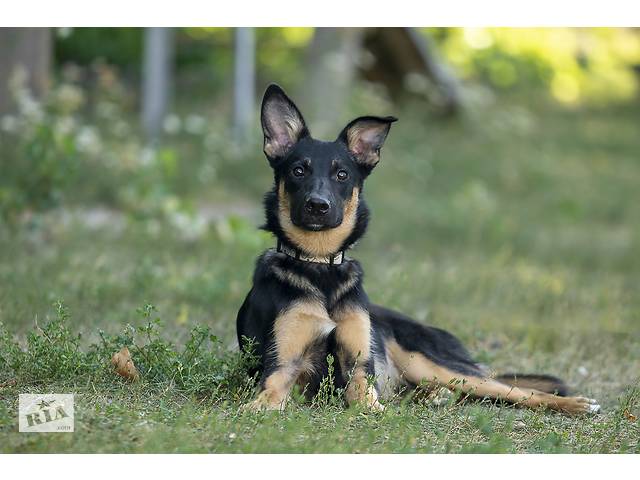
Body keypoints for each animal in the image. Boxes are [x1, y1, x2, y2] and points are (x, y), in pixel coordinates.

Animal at [235, 84, 600, 414]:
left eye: (342, 175)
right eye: (298, 171)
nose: (318, 206)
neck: (320, 265)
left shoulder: (360, 369)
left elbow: (369, 402)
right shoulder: (282, 368)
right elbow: (266, 399)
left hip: (428, 362)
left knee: (515, 389)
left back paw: (575, 404)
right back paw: (433, 397)